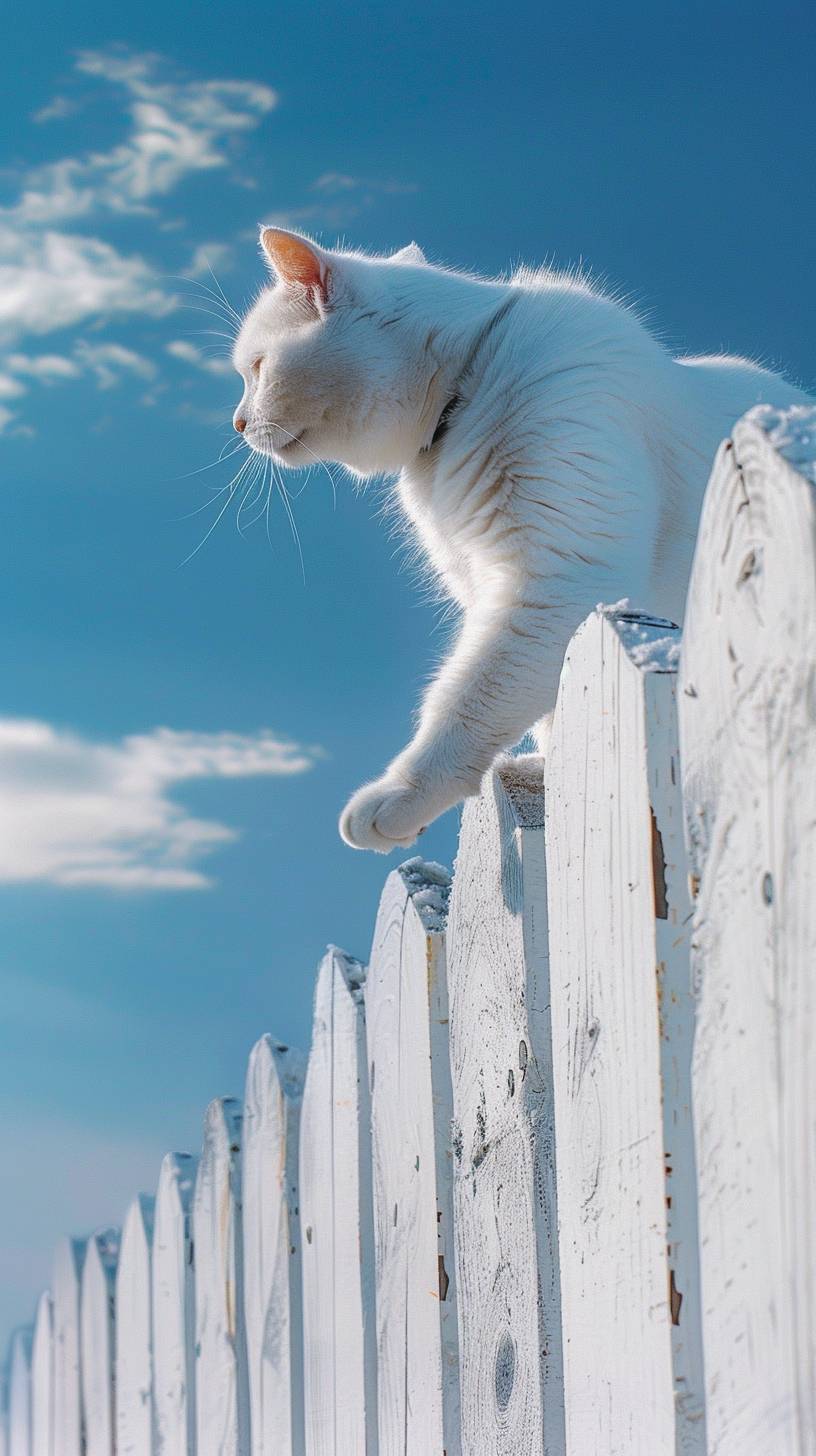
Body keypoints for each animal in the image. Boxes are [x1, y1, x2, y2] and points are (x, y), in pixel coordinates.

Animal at [233, 230, 804, 850]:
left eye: (258, 369)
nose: (238, 423)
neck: (468, 380)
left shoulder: (556, 583)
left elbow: (468, 700)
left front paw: (398, 798)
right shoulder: (499, 589)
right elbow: (549, 704)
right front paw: (553, 777)